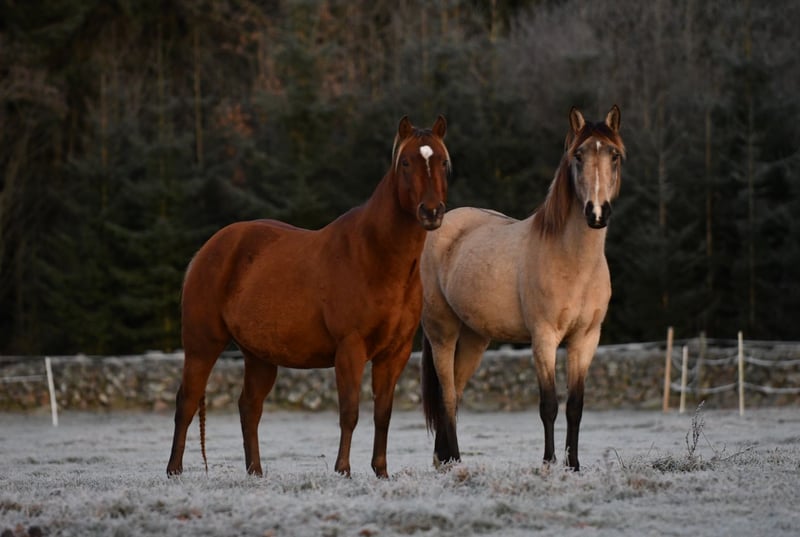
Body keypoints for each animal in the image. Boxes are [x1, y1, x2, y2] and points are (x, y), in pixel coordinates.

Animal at [167, 115, 450, 479]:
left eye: (442, 162)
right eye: (405, 162)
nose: (431, 212)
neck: (375, 256)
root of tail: (208, 250)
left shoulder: (394, 353)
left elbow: (382, 415)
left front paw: (381, 472)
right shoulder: (350, 348)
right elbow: (350, 412)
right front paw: (343, 471)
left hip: (259, 356)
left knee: (249, 407)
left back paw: (255, 472)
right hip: (203, 345)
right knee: (187, 400)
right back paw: (174, 470)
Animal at [420, 105, 624, 471]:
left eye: (613, 155)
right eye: (578, 156)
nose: (597, 213)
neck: (572, 261)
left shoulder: (586, 340)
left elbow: (575, 406)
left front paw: (573, 466)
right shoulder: (544, 338)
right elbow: (549, 405)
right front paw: (548, 462)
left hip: (474, 339)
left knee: (455, 392)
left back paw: (443, 460)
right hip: (442, 333)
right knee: (447, 395)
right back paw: (455, 460)